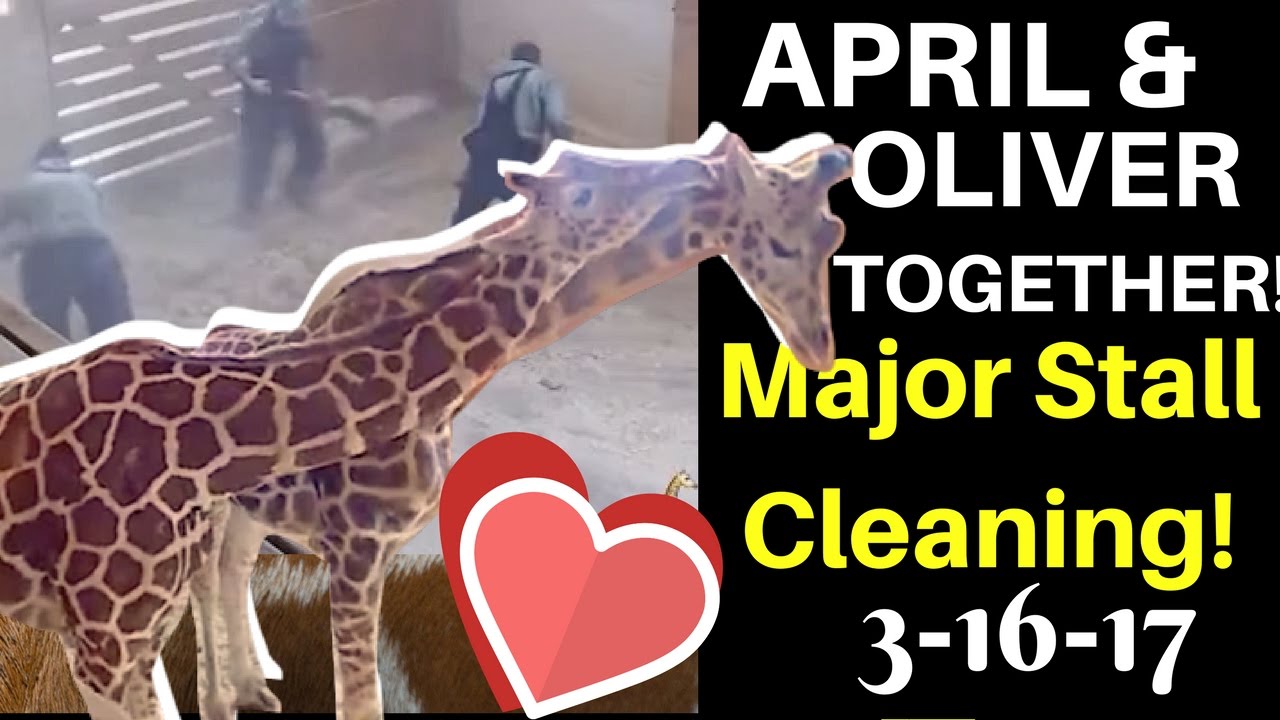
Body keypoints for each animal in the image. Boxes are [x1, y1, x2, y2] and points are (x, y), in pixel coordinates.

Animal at [0, 122, 852, 720]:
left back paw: (249, 688)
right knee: (217, 579)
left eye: (833, 237)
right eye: (794, 241)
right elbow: (358, 695)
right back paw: (234, 693)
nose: (818, 350)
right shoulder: (341, 551)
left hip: (224, 528)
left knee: (228, 571)